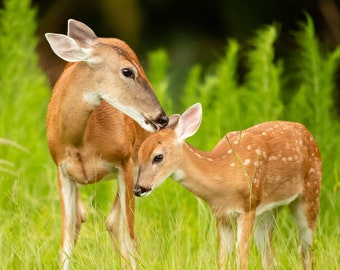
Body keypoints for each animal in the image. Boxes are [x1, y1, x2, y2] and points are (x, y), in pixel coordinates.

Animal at [44, 19, 168, 270]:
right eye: (127, 71)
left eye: (139, 69)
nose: (163, 118)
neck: (81, 141)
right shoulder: (62, 170)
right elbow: (65, 243)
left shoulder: (125, 162)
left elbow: (129, 238)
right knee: (86, 217)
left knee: (115, 224)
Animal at [133, 103, 322, 270]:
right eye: (138, 154)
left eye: (158, 157)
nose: (138, 189)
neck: (223, 174)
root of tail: (308, 133)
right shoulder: (221, 215)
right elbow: (222, 258)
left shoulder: (247, 206)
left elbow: (241, 258)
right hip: (268, 211)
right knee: (270, 256)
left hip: (311, 191)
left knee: (306, 250)